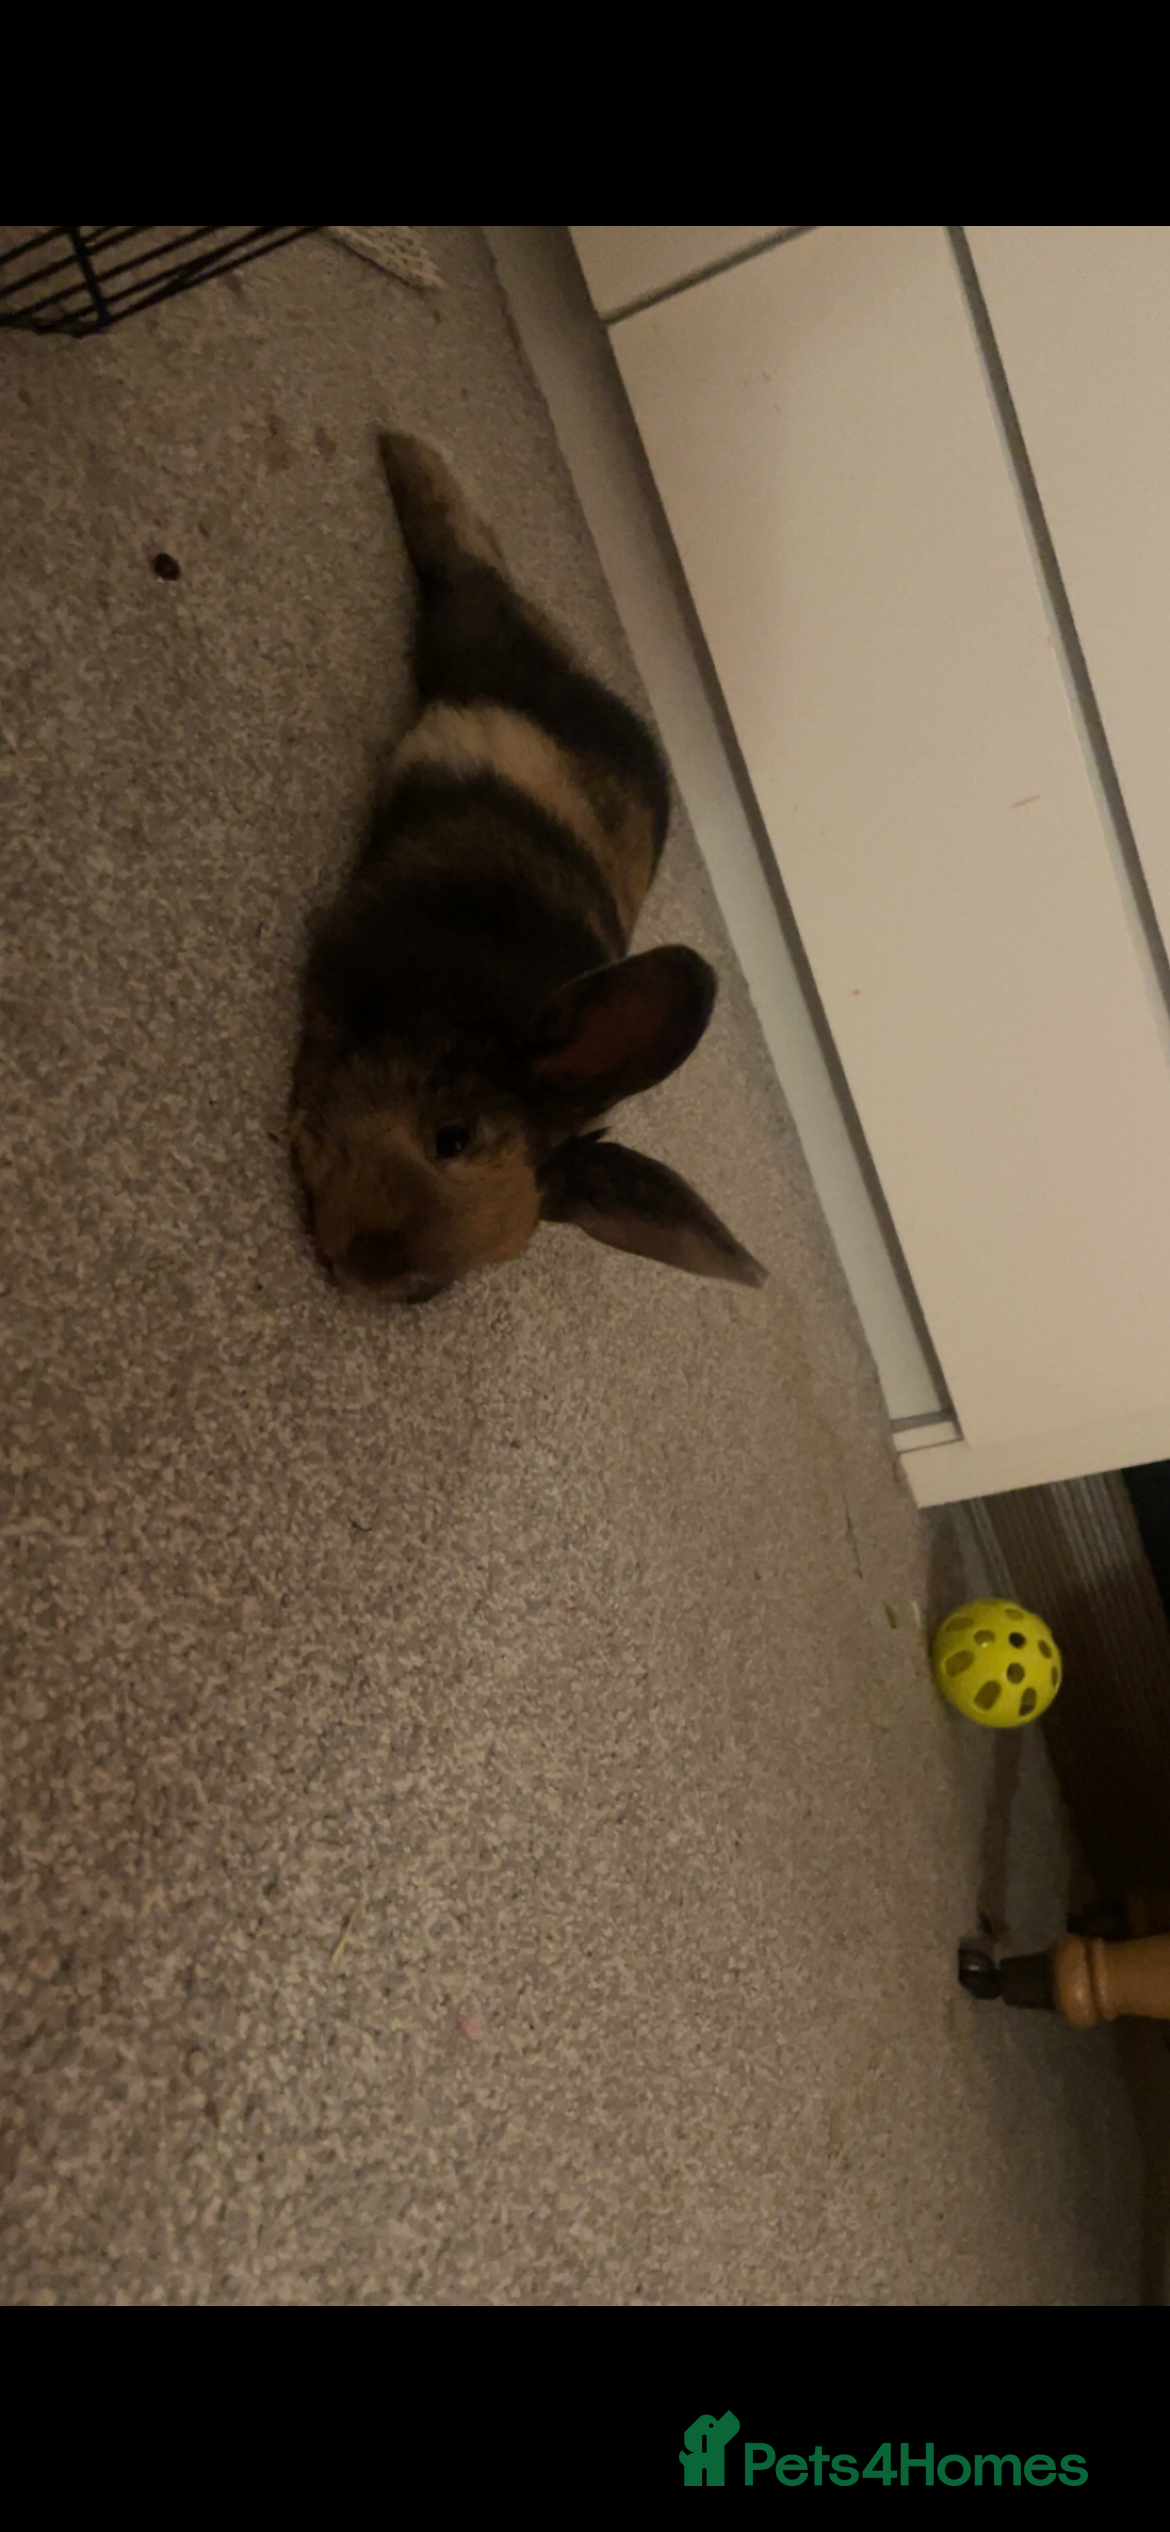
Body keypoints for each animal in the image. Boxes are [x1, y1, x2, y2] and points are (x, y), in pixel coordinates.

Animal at [290, 432, 765, 1305]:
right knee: (464, 568)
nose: (366, 1267)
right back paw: (402, 450)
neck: (469, 1009)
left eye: (497, 1254)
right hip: (464, 633)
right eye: (451, 1137)